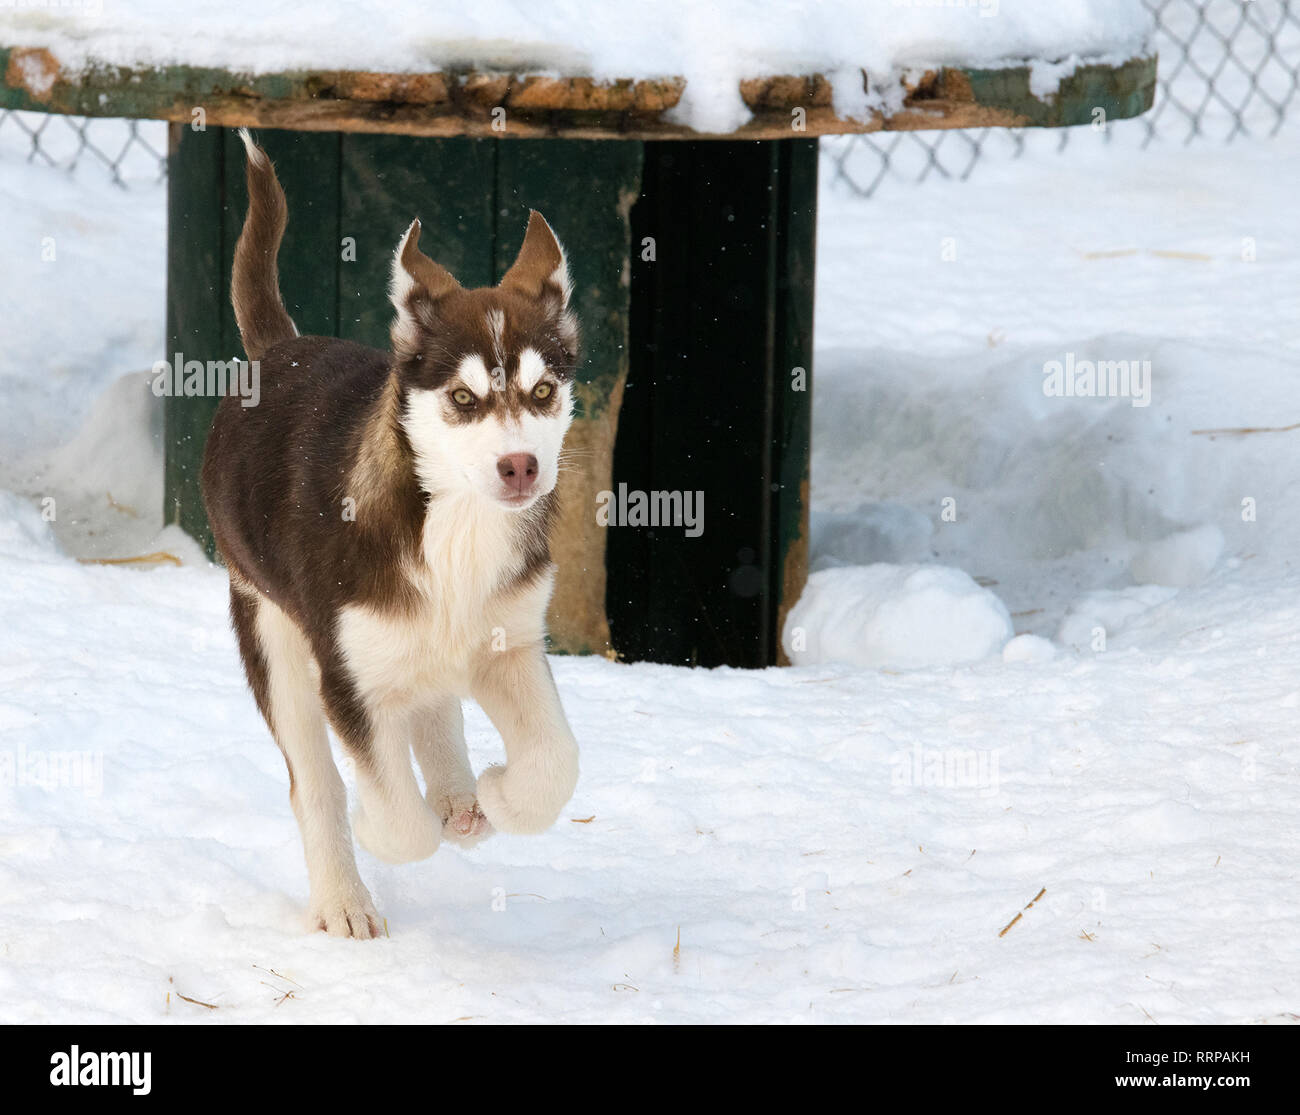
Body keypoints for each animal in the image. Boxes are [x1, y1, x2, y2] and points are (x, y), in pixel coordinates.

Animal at [201, 126, 579, 935]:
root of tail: (279, 350)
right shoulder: (345, 671)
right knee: (315, 781)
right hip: (271, 634)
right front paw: (381, 826)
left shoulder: (512, 641)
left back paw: (461, 799)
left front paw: (501, 794)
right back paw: (344, 898)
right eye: (463, 399)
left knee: (432, 698)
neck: (455, 527)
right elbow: (395, 818)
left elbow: (557, 762)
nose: (520, 467)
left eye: (542, 391)